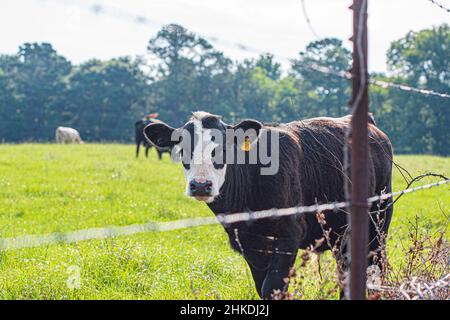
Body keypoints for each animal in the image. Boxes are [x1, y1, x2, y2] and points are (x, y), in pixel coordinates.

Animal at [144, 111, 394, 298]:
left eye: (224, 148)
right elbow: (261, 287)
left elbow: (272, 288)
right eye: (182, 149)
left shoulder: (289, 235)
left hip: (378, 222)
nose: (200, 185)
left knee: (374, 267)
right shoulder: (249, 243)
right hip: (339, 234)